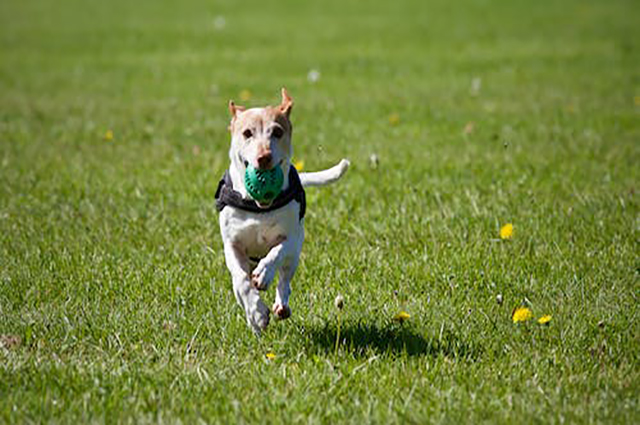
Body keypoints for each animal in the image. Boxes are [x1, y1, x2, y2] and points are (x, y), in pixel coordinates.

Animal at [219, 89, 350, 332]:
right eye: (247, 133)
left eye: (277, 132)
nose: (264, 157)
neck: (259, 207)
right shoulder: (232, 244)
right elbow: (241, 281)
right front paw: (257, 313)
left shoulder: (293, 237)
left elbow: (277, 251)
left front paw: (264, 274)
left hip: (294, 258)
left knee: (285, 280)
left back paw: (281, 304)